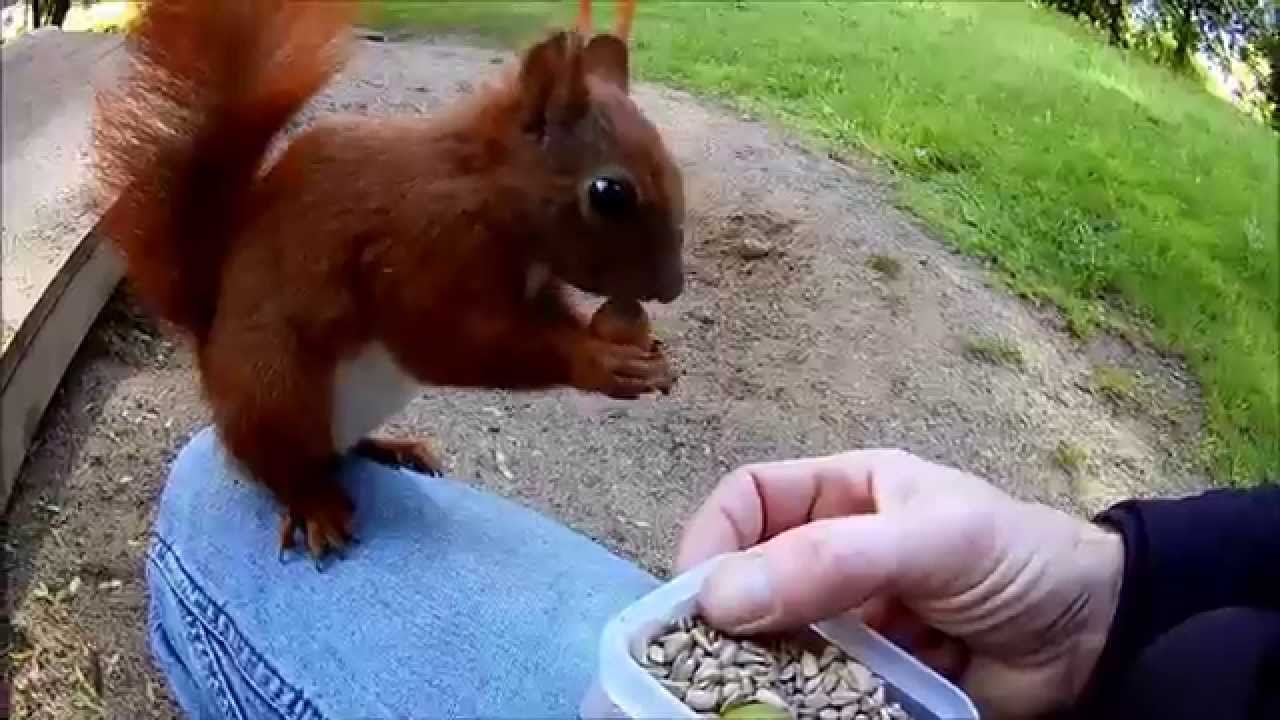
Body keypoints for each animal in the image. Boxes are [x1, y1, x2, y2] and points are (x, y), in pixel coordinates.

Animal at [91, 0, 685, 563]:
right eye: (609, 193)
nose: (672, 287)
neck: (485, 187)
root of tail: (209, 345)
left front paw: (641, 351)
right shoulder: (421, 247)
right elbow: (452, 340)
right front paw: (602, 361)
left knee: (338, 451)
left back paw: (390, 447)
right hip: (275, 389)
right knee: (282, 467)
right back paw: (317, 504)